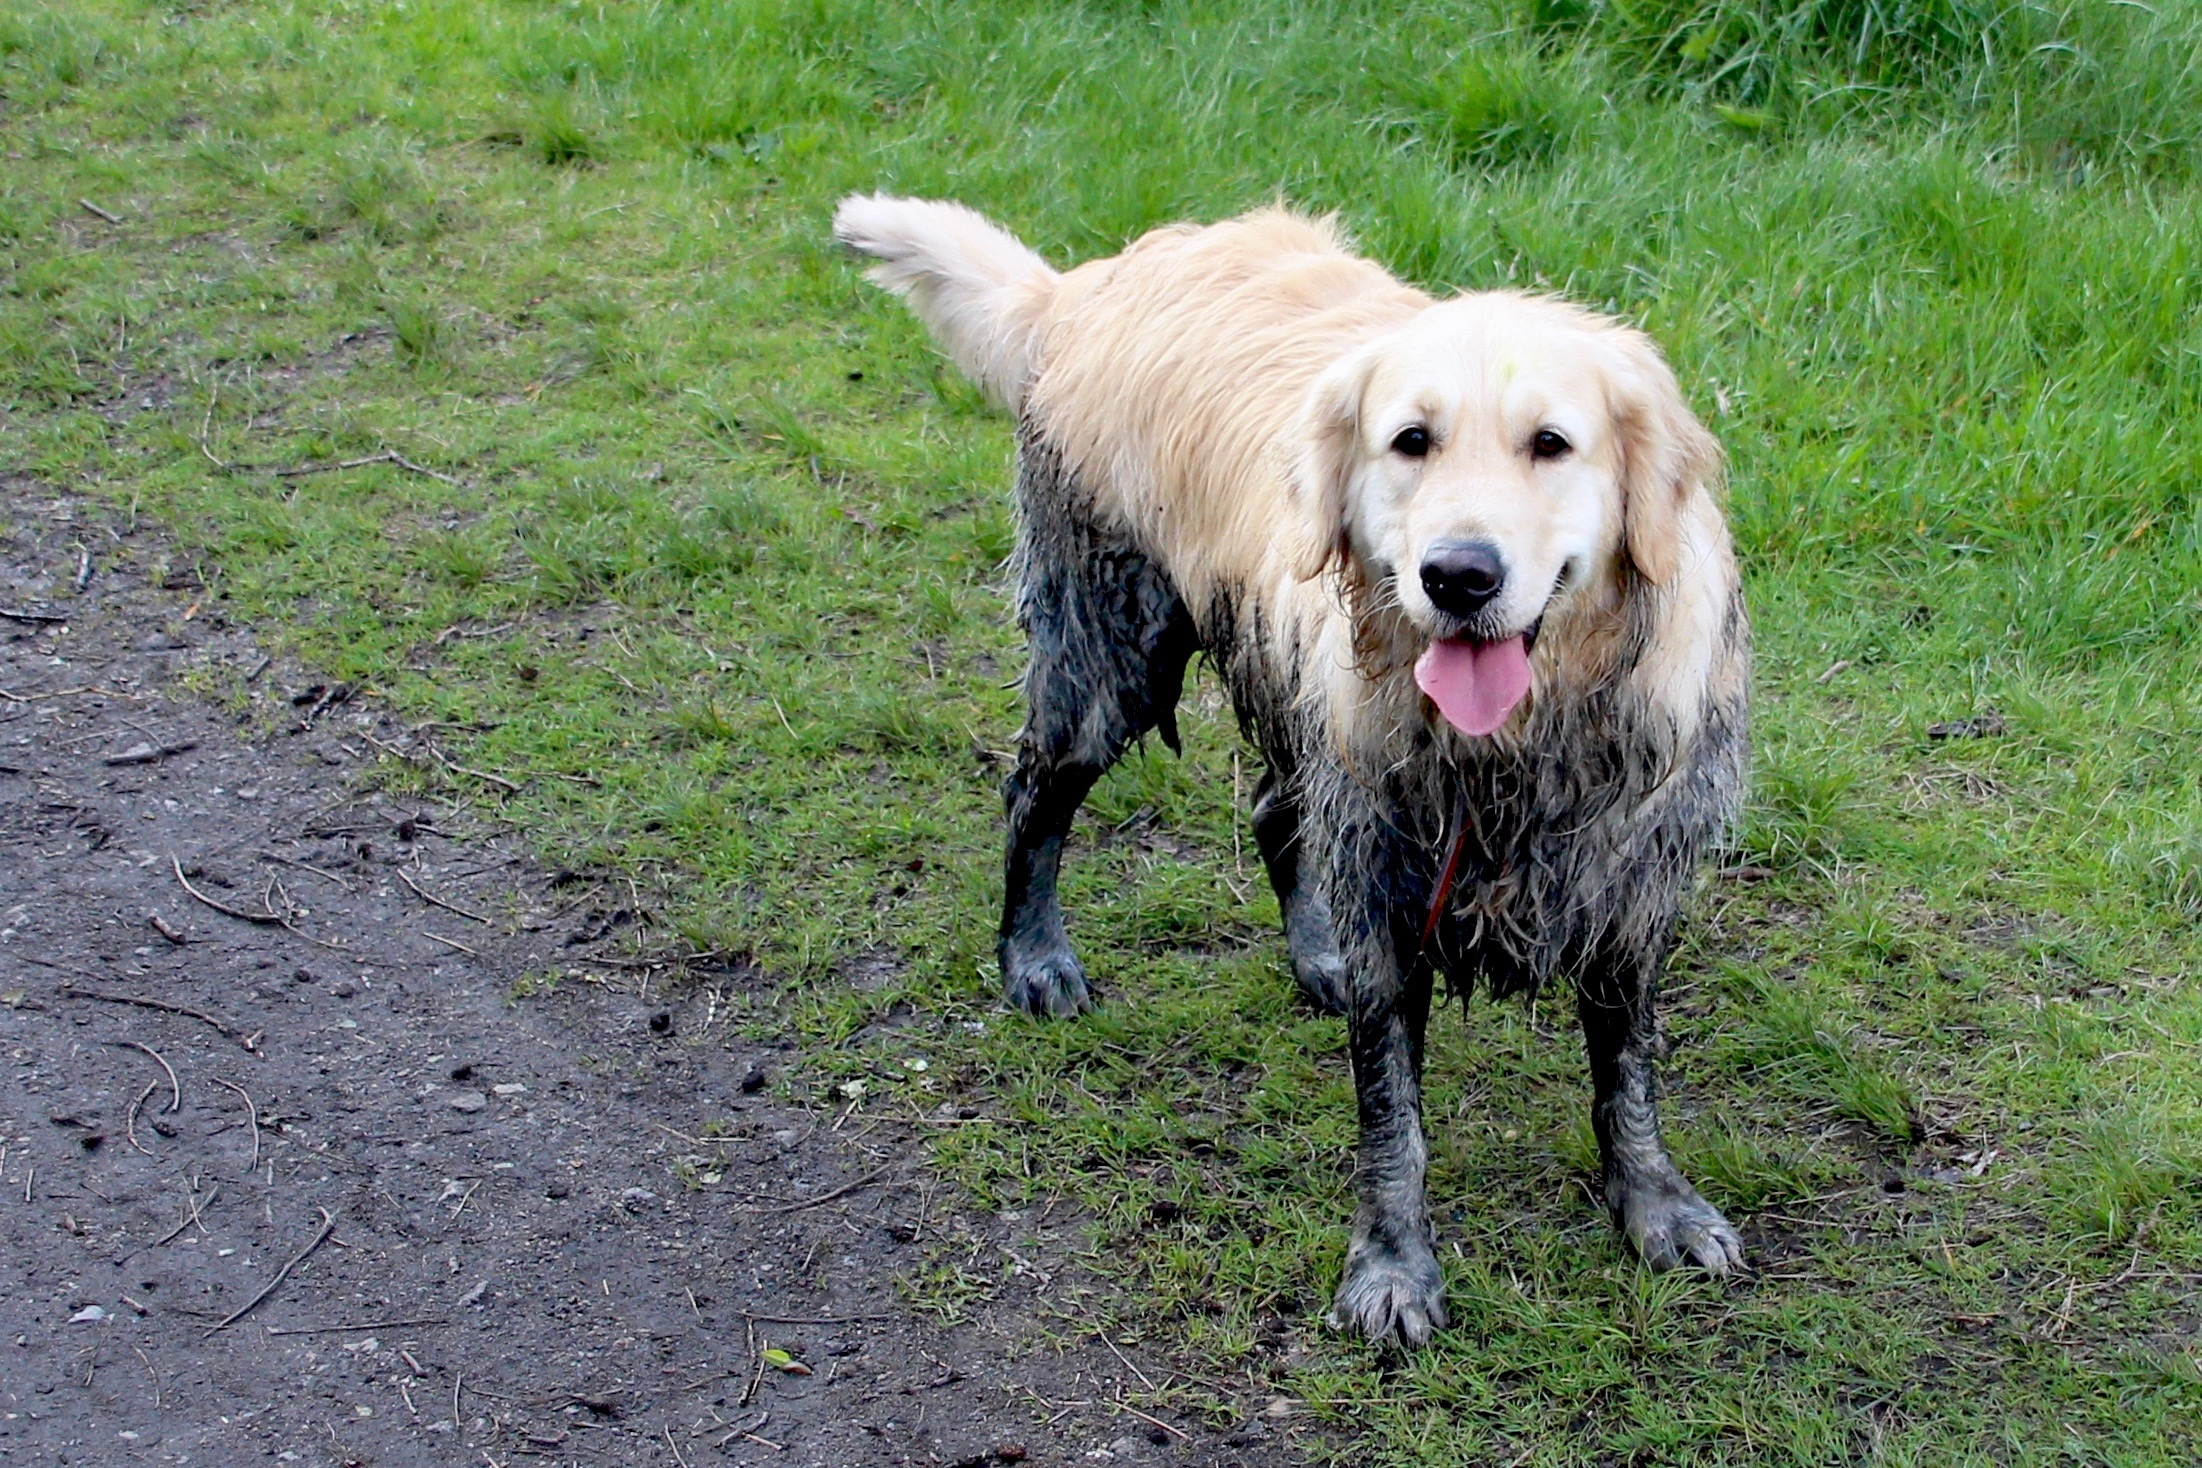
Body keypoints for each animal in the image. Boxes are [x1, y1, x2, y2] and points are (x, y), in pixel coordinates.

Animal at [832, 198, 1743, 1355]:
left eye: (1552, 443)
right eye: (1411, 440)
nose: (1458, 576)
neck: (1513, 748)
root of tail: (1085, 283)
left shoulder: (1626, 875)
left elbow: (1628, 1069)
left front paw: (1655, 1203)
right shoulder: (1393, 875)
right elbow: (1392, 1112)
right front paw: (1393, 1265)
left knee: (1273, 809)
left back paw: (1316, 952)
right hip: (1113, 647)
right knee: (1034, 795)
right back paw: (1035, 958)